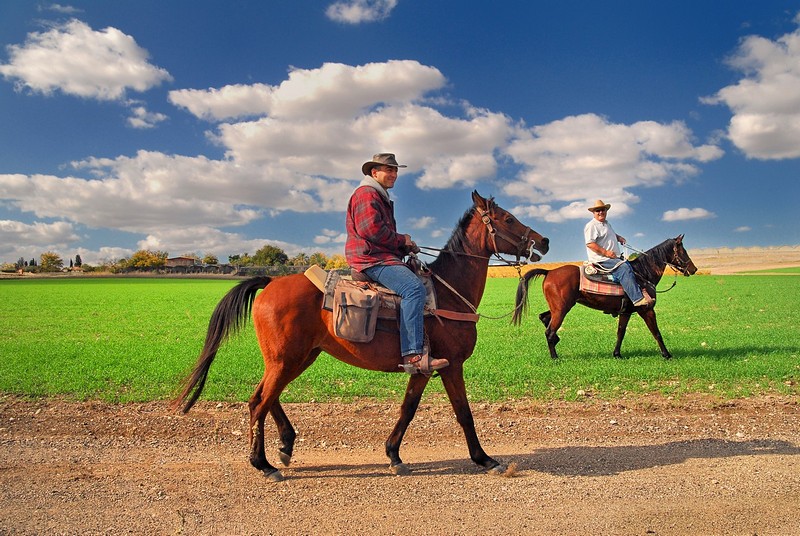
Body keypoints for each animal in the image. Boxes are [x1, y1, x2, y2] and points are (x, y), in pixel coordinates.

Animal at [174, 193, 552, 482]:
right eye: (507, 218)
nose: (545, 241)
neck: (446, 293)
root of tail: (271, 282)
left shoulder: (424, 367)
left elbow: (408, 408)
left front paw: (394, 455)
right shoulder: (451, 365)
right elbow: (463, 412)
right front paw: (484, 458)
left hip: (297, 357)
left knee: (266, 397)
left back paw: (285, 446)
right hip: (286, 359)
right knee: (258, 402)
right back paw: (264, 464)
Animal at [512, 234, 692, 360]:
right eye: (683, 250)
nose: (694, 269)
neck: (643, 274)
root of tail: (549, 272)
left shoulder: (626, 312)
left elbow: (621, 332)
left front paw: (617, 354)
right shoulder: (646, 310)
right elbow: (656, 332)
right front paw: (667, 354)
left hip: (559, 307)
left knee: (543, 317)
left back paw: (556, 341)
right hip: (562, 309)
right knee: (549, 331)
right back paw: (555, 357)